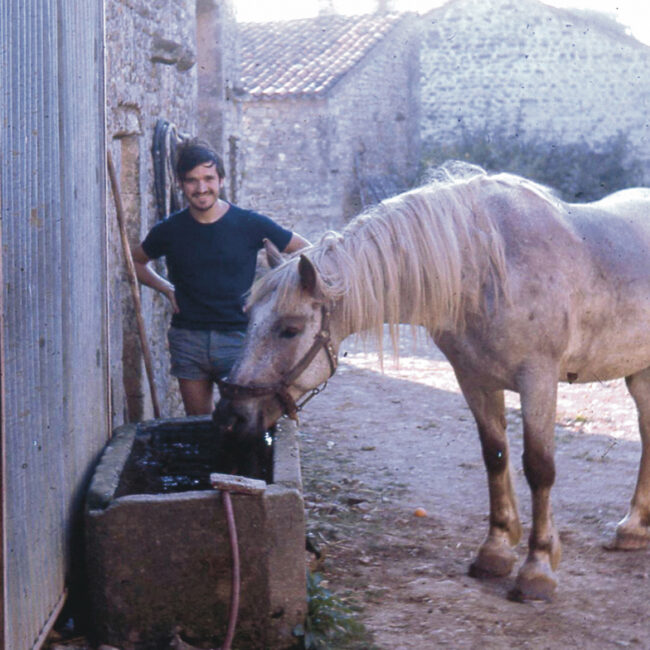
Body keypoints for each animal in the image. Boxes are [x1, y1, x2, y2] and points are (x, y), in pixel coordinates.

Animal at [215, 165, 648, 600]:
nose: (230, 416)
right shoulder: (474, 379)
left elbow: (539, 467)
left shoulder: (538, 379)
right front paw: (495, 551)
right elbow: (495, 457)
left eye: (289, 329)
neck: (491, 266)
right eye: (248, 316)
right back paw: (633, 528)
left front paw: (537, 567)